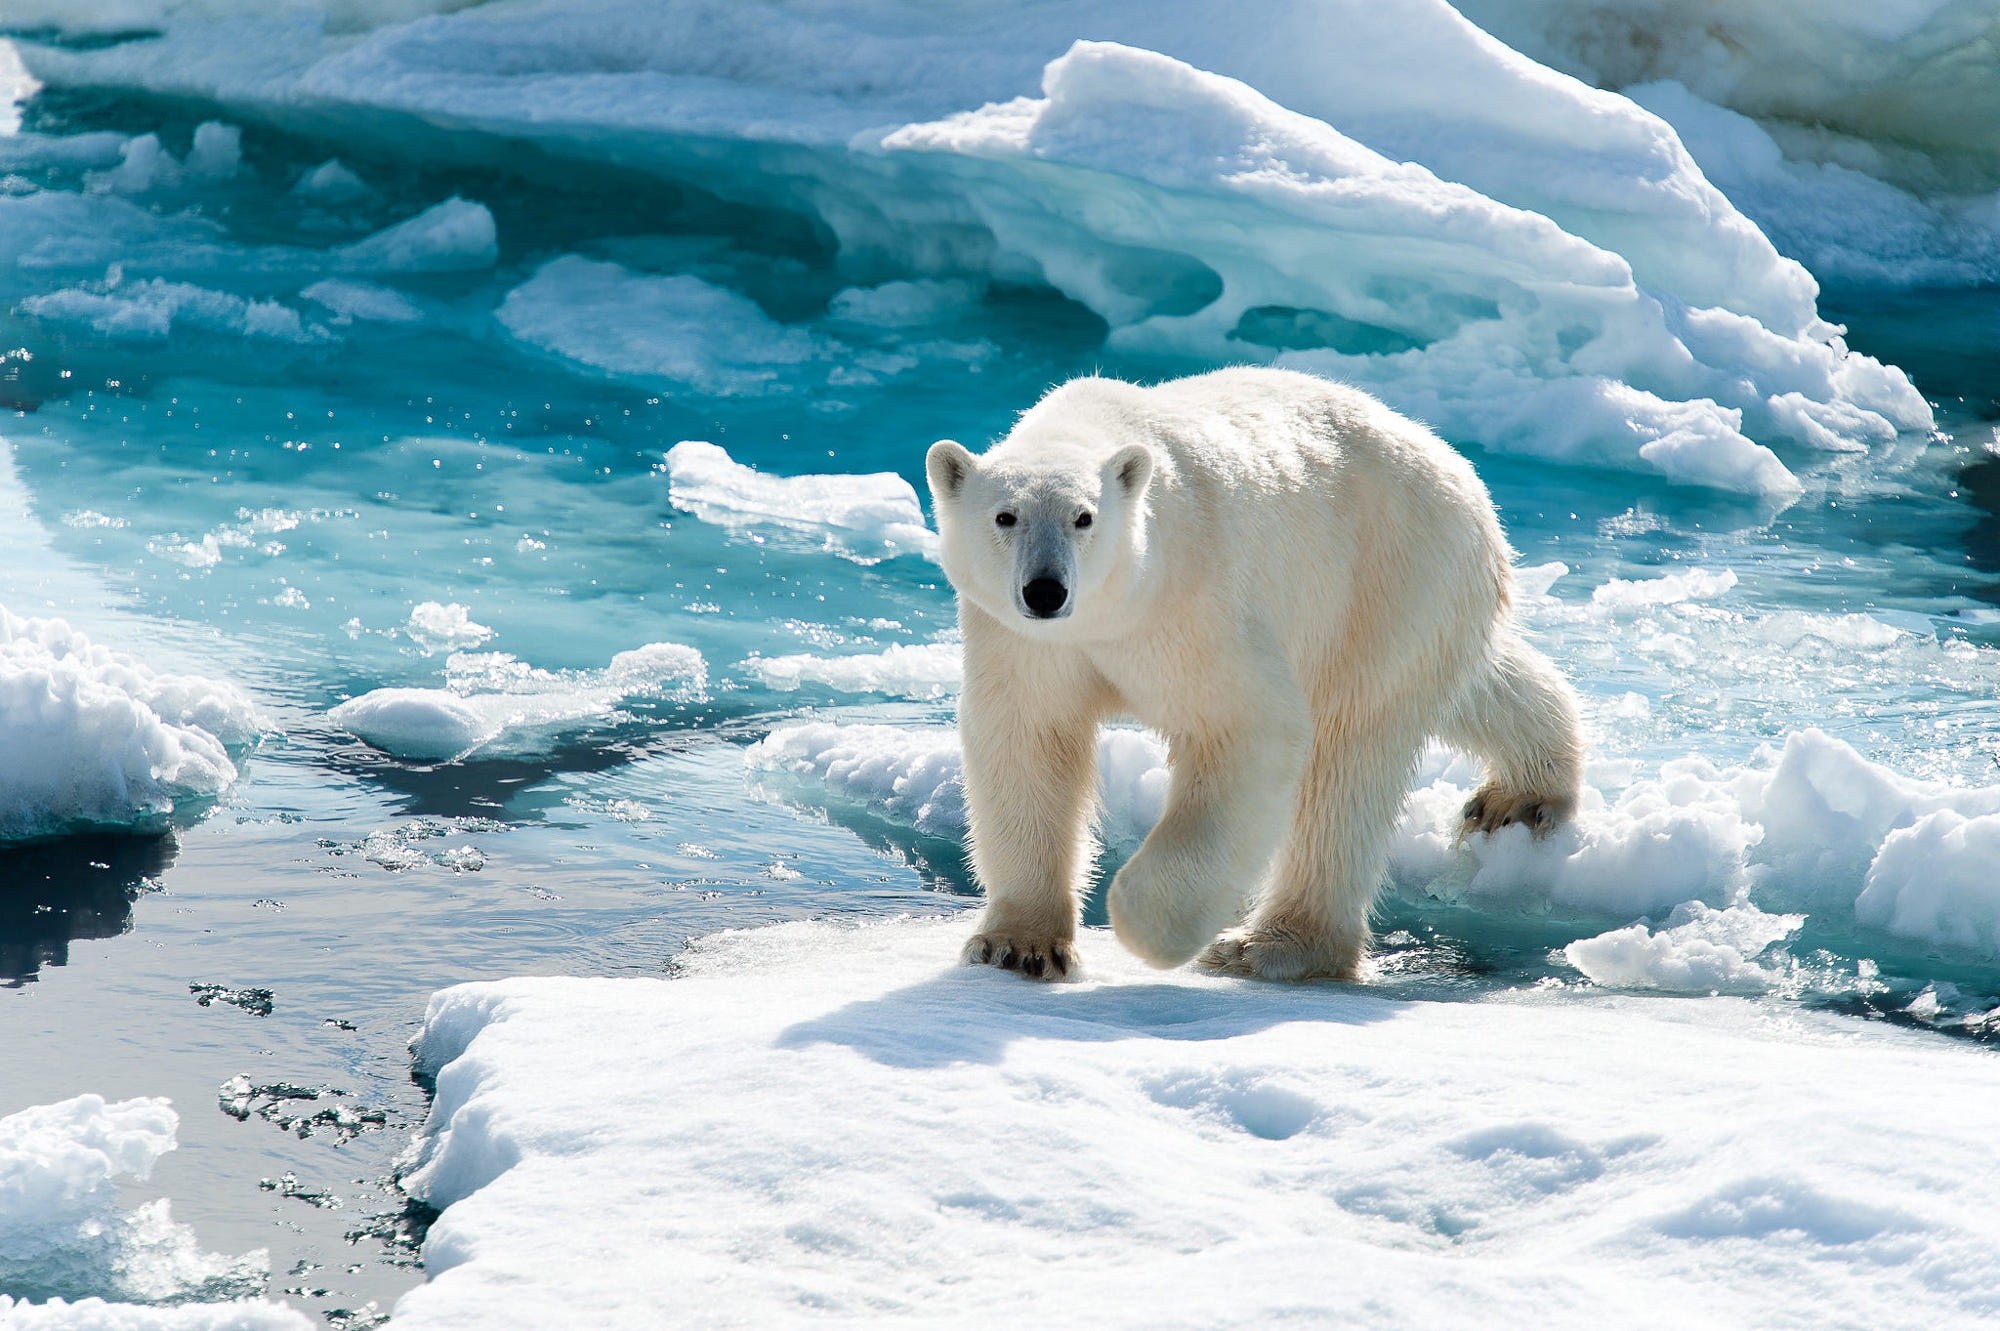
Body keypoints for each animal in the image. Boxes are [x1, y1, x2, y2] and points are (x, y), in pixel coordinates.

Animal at [924, 363, 1592, 975]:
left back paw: (1266, 946)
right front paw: (1018, 945)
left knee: (1347, 759)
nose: (1045, 590)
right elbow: (1028, 738)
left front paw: (1147, 927)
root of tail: (1456, 466)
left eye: (1084, 517)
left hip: (1385, 577)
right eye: (1005, 517)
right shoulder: (1023, 641)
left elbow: (1248, 727)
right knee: (1476, 682)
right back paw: (1519, 794)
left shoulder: (1192, 602)